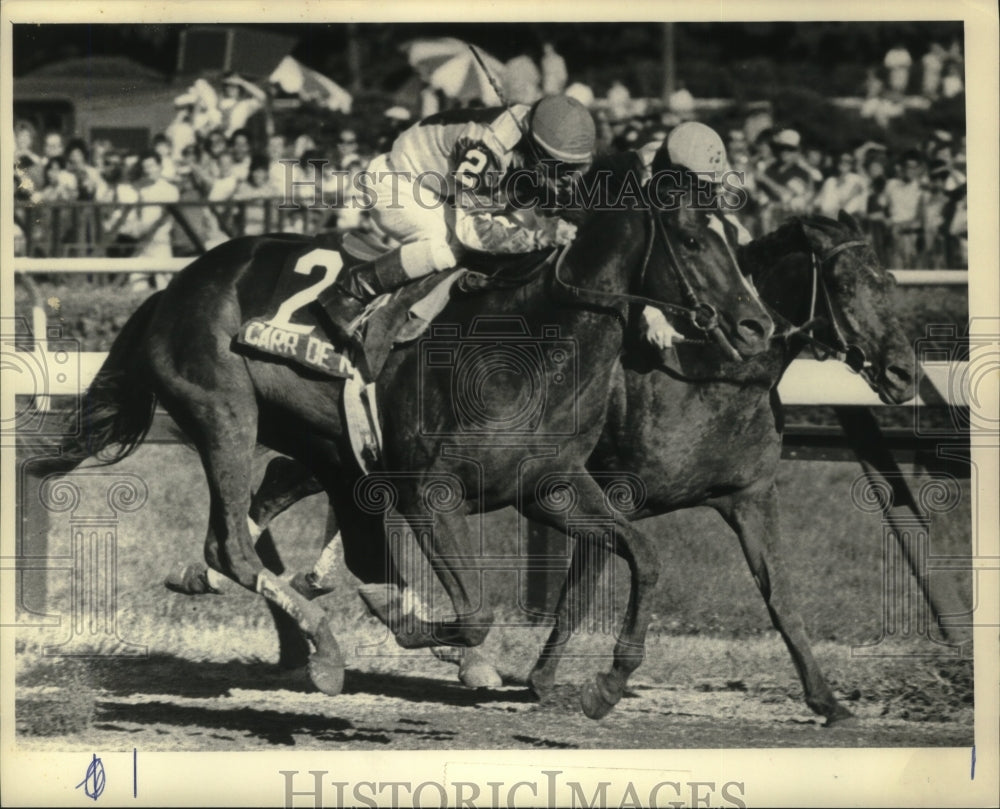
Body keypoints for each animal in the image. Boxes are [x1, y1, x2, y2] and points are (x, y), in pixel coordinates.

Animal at [37, 150, 772, 712]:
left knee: (278, 530)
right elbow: (472, 609)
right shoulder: (430, 492)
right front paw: (417, 627)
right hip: (224, 413)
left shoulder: (552, 487)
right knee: (234, 547)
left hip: (329, 450)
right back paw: (326, 647)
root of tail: (171, 287)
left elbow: (644, 555)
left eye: (739, 240)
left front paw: (605, 684)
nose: (756, 325)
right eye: (693, 238)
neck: (532, 342)